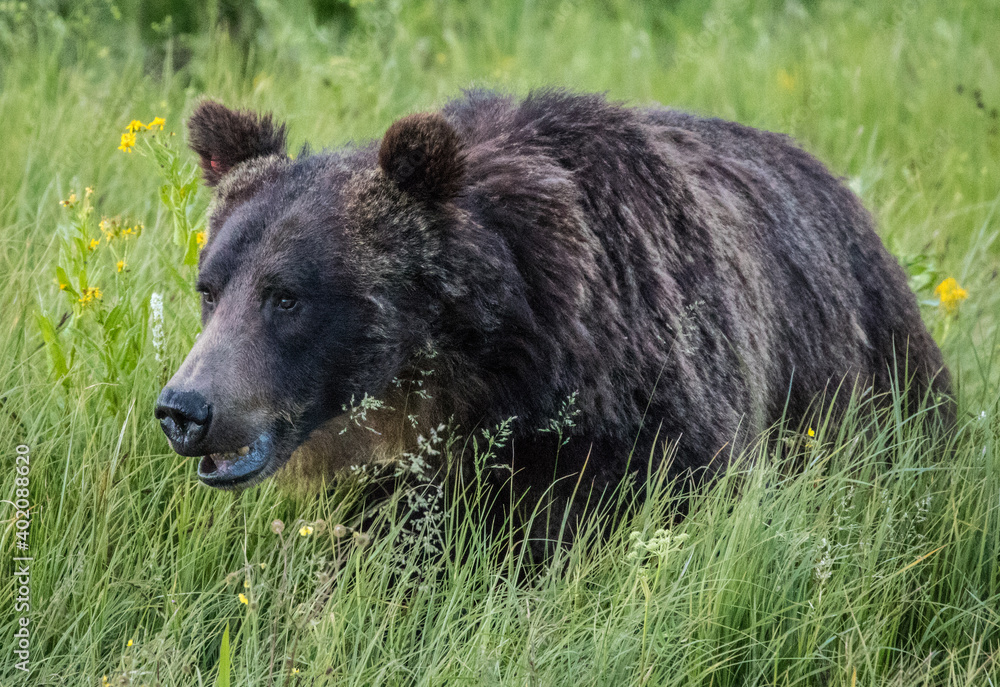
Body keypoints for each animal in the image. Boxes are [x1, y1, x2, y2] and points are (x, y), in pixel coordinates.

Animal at [155, 89, 953, 553]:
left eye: (286, 296)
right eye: (209, 286)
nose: (186, 408)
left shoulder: (648, 413)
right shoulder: (409, 474)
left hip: (866, 378)